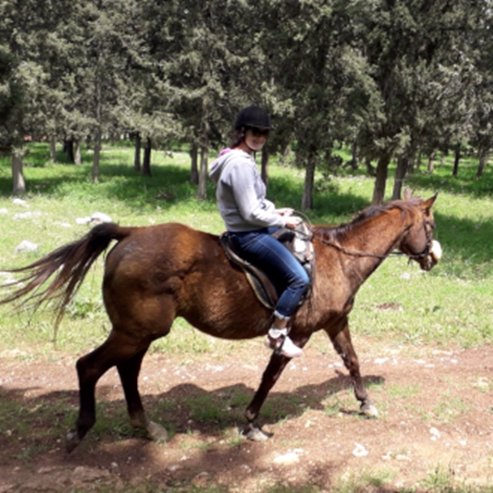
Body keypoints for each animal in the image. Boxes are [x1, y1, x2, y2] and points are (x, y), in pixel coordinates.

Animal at [0, 191, 440, 450]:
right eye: (430, 224)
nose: (435, 256)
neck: (339, 257)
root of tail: (130, 233)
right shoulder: (296, 332)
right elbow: (271, 376)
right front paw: (251, 423)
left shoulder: (335, 324)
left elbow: (352, 361)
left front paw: (366, 403)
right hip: (137, 331)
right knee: (89, 366)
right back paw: (80, 430)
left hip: (137, 332)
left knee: (126, 370)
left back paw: (146, 427)